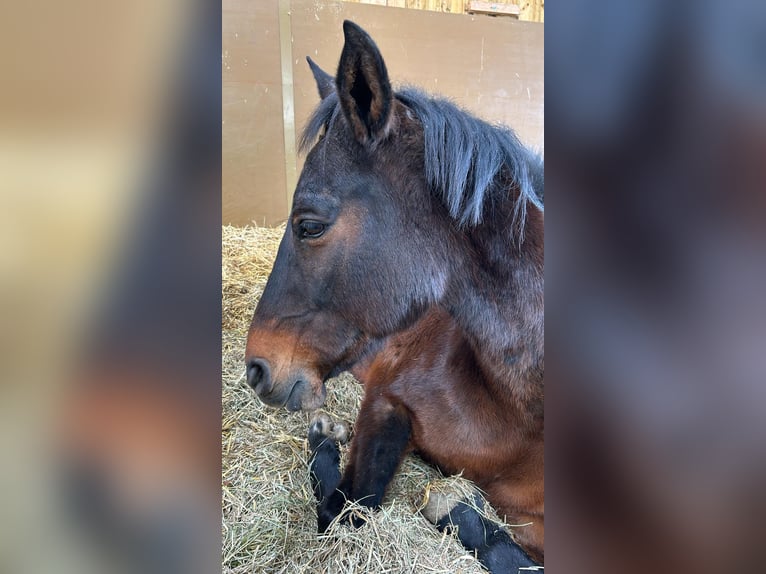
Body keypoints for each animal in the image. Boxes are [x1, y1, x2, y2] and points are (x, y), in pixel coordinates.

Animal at [245, 20, 544, 571]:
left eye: (309, 224)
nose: (255, 368)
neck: (517, 411)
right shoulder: (386, 398)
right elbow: (345, 506)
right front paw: (325, 438)